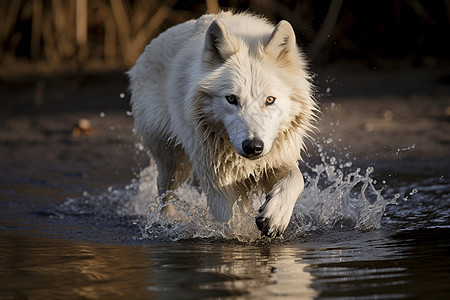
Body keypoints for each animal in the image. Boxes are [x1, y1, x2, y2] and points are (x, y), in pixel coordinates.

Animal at [126, 11, 316, 237]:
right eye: (231, 99)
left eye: (270, 100)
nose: (253, 147)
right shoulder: (217, 179)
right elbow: (230, 220)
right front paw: (239, 235)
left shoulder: (277, 160)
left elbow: (296, 179)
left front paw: (275, 216)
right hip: (174, 162)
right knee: (163, 190)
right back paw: (169, 219)